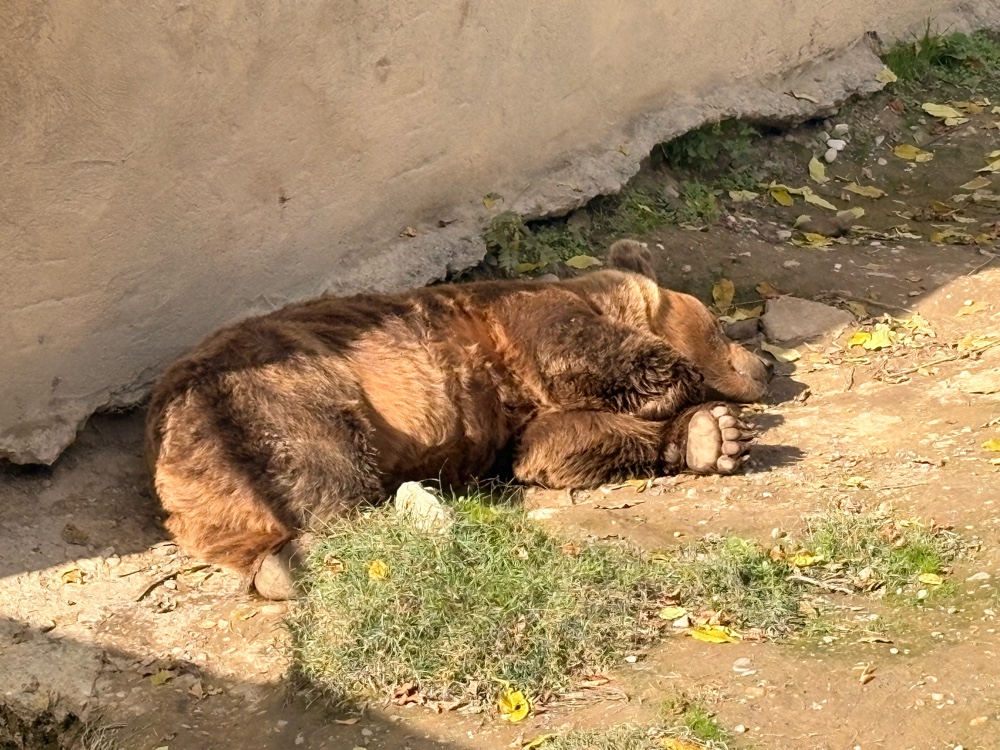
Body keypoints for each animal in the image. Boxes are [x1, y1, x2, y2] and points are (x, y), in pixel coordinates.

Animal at [145, 240, 768, 599]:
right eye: (718, 324)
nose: (764, 365)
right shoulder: (523, 319)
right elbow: (590, 351)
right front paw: (700, 401)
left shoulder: (520, 416)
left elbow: (553, 445)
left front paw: (712, 436)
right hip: (277, 393)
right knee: (326, 470)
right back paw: (407, 520)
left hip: (215, 491)